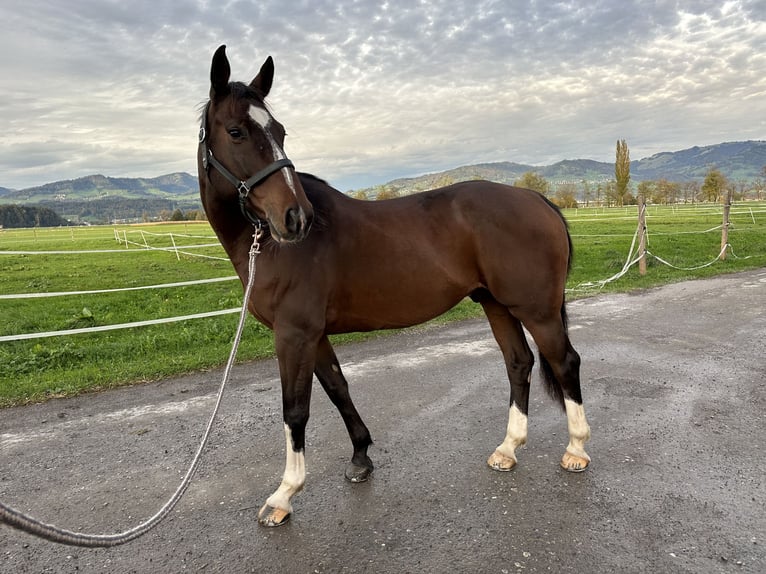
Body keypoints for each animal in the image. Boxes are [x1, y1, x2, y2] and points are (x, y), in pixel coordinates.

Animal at [198, 47, 592, 528]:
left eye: (281, 132)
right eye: (236, 131)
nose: (295, 218)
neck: (269, 245)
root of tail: (537, 199)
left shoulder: (293, 335)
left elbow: (295, 410)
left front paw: (284, 495)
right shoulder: (314, 335)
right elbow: (338, 389)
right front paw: (360, 457)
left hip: (536, 309)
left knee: (564, 362)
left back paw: (576, 449)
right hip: (496, 304)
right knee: (519, 363)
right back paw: (507, 449)